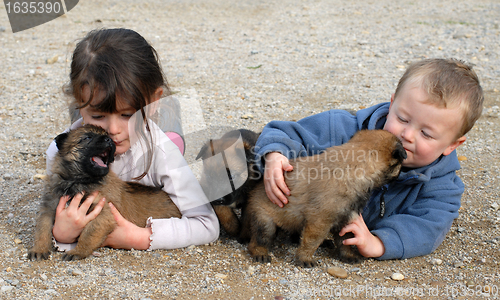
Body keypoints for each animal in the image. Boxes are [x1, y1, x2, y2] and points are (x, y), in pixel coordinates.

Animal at [27, 124, 182, 260]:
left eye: (107, 136)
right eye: (87, 137)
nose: (109, 140)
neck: (78, 182)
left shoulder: (104, 213)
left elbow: (88, 233)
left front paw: (78, 251)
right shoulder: (48, 208)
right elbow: (42, 229)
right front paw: (39, 249)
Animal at [241, 129, 406, 268]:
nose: (401, 174)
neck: (354, 167)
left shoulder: (346, 219)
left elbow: (345, 240)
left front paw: (348, 255)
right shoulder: (319, 221)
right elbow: (311, 241)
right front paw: (305, 258)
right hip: (265, 222)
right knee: (259, 240)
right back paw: (260, 253)